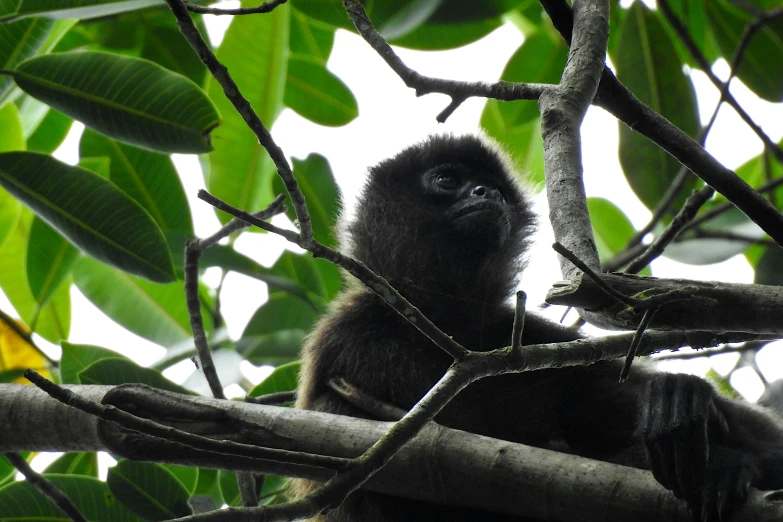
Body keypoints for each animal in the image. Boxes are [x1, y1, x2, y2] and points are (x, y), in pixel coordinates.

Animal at [294, 135, 783, 520]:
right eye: (448, 180)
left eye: (494, 190)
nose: (485, 192)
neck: (446, 326)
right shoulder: (350, 333)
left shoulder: (528, 333)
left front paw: (686, 404)